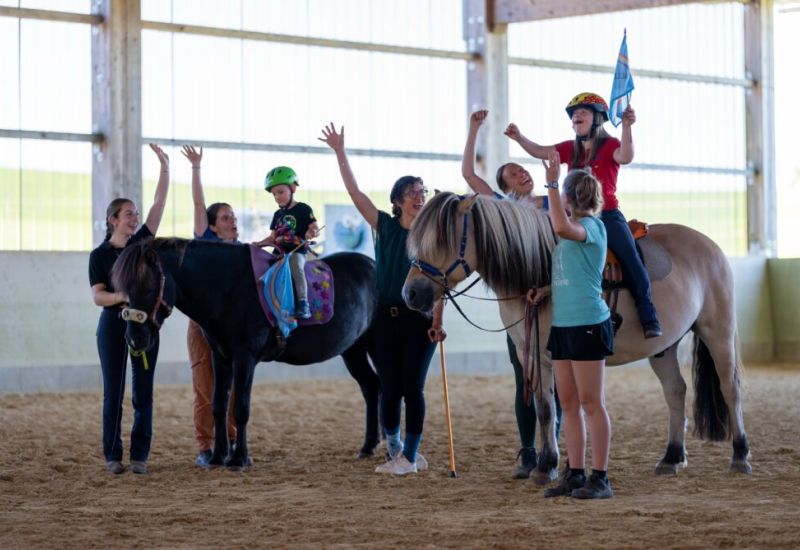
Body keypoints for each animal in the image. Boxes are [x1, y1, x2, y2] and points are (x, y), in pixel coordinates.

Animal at [111, 237, 380, 469]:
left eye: (148, 287)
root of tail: (374, 265)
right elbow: (219, 405)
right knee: (370, 386)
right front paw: (218, 456)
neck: (229, 288)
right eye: (126, 290)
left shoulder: (245, 358)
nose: (134, 338)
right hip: (353, 349)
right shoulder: (220, 357)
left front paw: (238, 459)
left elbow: (240, 407)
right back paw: (368, 447)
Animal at [402, 192, 751, 483]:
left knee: (730, 388)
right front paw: (546, 466)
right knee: (676, 391)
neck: (542, 270)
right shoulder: (534, 356)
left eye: (442, 240)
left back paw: (740, 454)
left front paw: (563, 467)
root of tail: (711, 246)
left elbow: (568, 410)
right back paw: (672, 457)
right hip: (663, 347)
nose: (411, 293)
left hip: (718, 332)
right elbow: (545, 409)